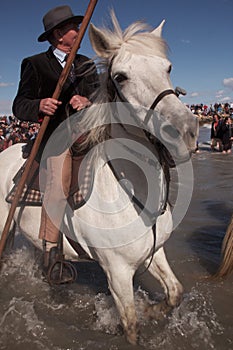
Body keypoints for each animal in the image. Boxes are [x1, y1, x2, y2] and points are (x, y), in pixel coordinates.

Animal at [0, 13, 200, 344]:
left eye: (168, 68)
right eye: (120, 76)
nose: (185, 131)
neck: (128, 189)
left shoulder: (155, 252)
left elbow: (175, 293)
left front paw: (152, 310)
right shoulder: (117, 273)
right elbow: (130, 325)